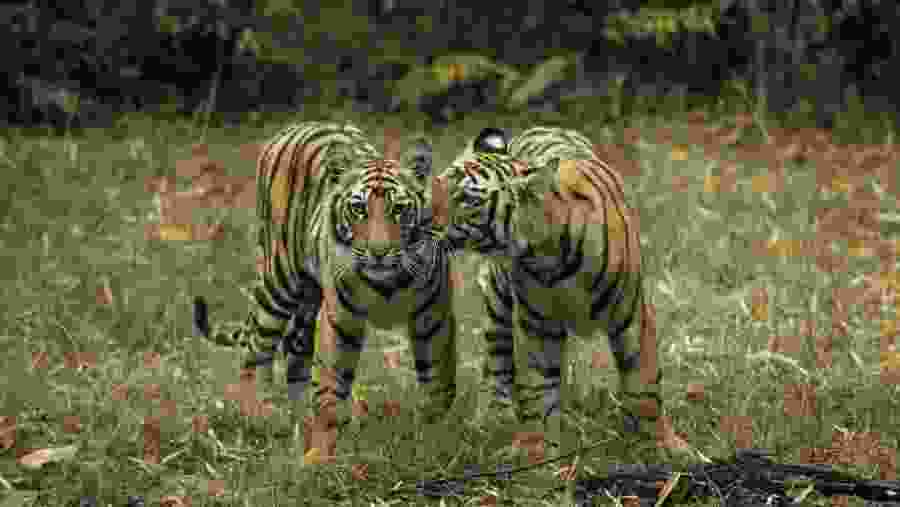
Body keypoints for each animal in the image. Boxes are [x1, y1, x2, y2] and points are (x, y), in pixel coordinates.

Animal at [193, 121, 458, 434]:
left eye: (399, 209)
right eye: (359, 209)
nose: (378, 252)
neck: (388, 281)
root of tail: (293, 128)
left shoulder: (433, 315)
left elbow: (437, 379)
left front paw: (434, 429)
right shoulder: (341, 315)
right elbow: (333, 373)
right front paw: (330, 429)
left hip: (309, 298)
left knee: (295, 350)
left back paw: (297, 416)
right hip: (280, 280)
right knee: (257, 348)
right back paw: (259, 413)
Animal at [438, 126, 666, 467]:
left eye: (467, 198)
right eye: (438, 182)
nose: (414, 218)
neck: (546, 253)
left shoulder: (630, 312)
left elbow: (644, 383)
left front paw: (658, 448)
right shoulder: (536, 322)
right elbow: (536, 387)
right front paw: (538, 452)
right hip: (498, 299)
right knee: (497, 359)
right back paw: (494, 417)